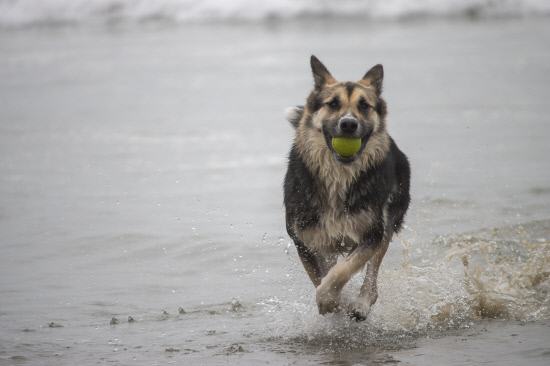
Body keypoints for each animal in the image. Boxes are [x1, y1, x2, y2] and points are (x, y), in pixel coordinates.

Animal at [284, 55, 410, 320]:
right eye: (332, 104)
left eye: (364, 106)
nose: (349, 124)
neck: (338, 176)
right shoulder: (306, 241)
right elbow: (321, 276)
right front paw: (332, 304)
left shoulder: (371, 234)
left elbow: (341, 271)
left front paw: (328, 300)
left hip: (387, 220)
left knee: (372, 274)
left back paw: (361, 304)